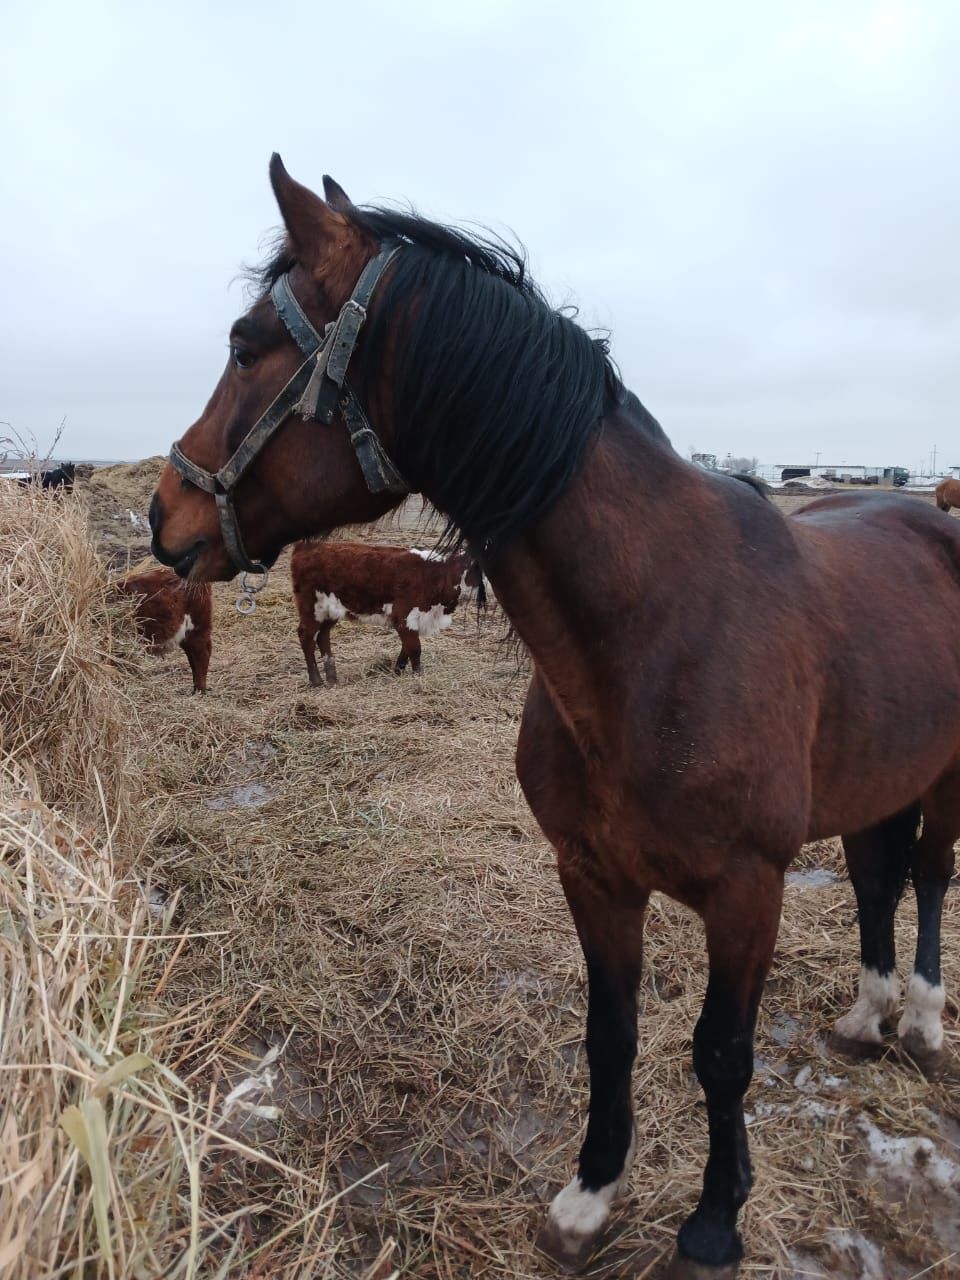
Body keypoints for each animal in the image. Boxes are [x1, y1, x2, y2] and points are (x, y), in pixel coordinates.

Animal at [289, 540, 483, 686]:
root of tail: (305, 546)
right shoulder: (404, 616)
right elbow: (415, 648)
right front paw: (419, 676)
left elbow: (407, 648)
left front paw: (397, 671)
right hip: (311, 608)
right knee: (306, 636)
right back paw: (316, 680)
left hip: (330, 611)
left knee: (323, 637)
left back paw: (332, 678)